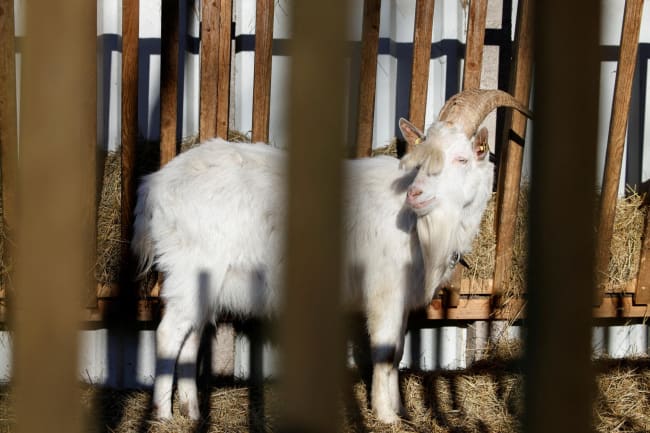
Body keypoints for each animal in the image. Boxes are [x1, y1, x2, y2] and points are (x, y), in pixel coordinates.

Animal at [131, 89, 532, 423]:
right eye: (419, 162)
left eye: (462, 158)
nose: (415, 195)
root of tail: (155, 186)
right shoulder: (384, 292)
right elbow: (386, 352)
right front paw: (386, 416)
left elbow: (399, 351)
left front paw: (398, 409)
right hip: (190, 267)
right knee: (168, 335)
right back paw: (163, 415)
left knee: (190, 340)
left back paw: (192, 412)